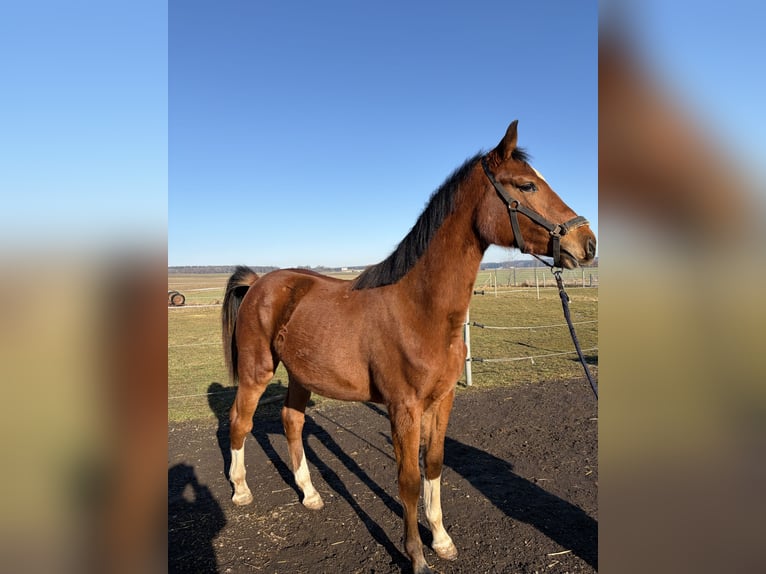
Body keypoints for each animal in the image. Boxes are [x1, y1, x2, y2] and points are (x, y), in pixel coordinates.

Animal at [221, 120, 596, 574]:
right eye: (527, 185)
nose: (588, 243)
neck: (419, 309)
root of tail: (260, 282)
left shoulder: (442, 400)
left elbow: (433, 465)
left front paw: (442, 540)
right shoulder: (404, 408)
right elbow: (409, 481)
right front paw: (416, 556)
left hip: (300, 375)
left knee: (293, 422)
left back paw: (310, 494)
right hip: (257, 371)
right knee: (240, 421)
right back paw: (240, 490)